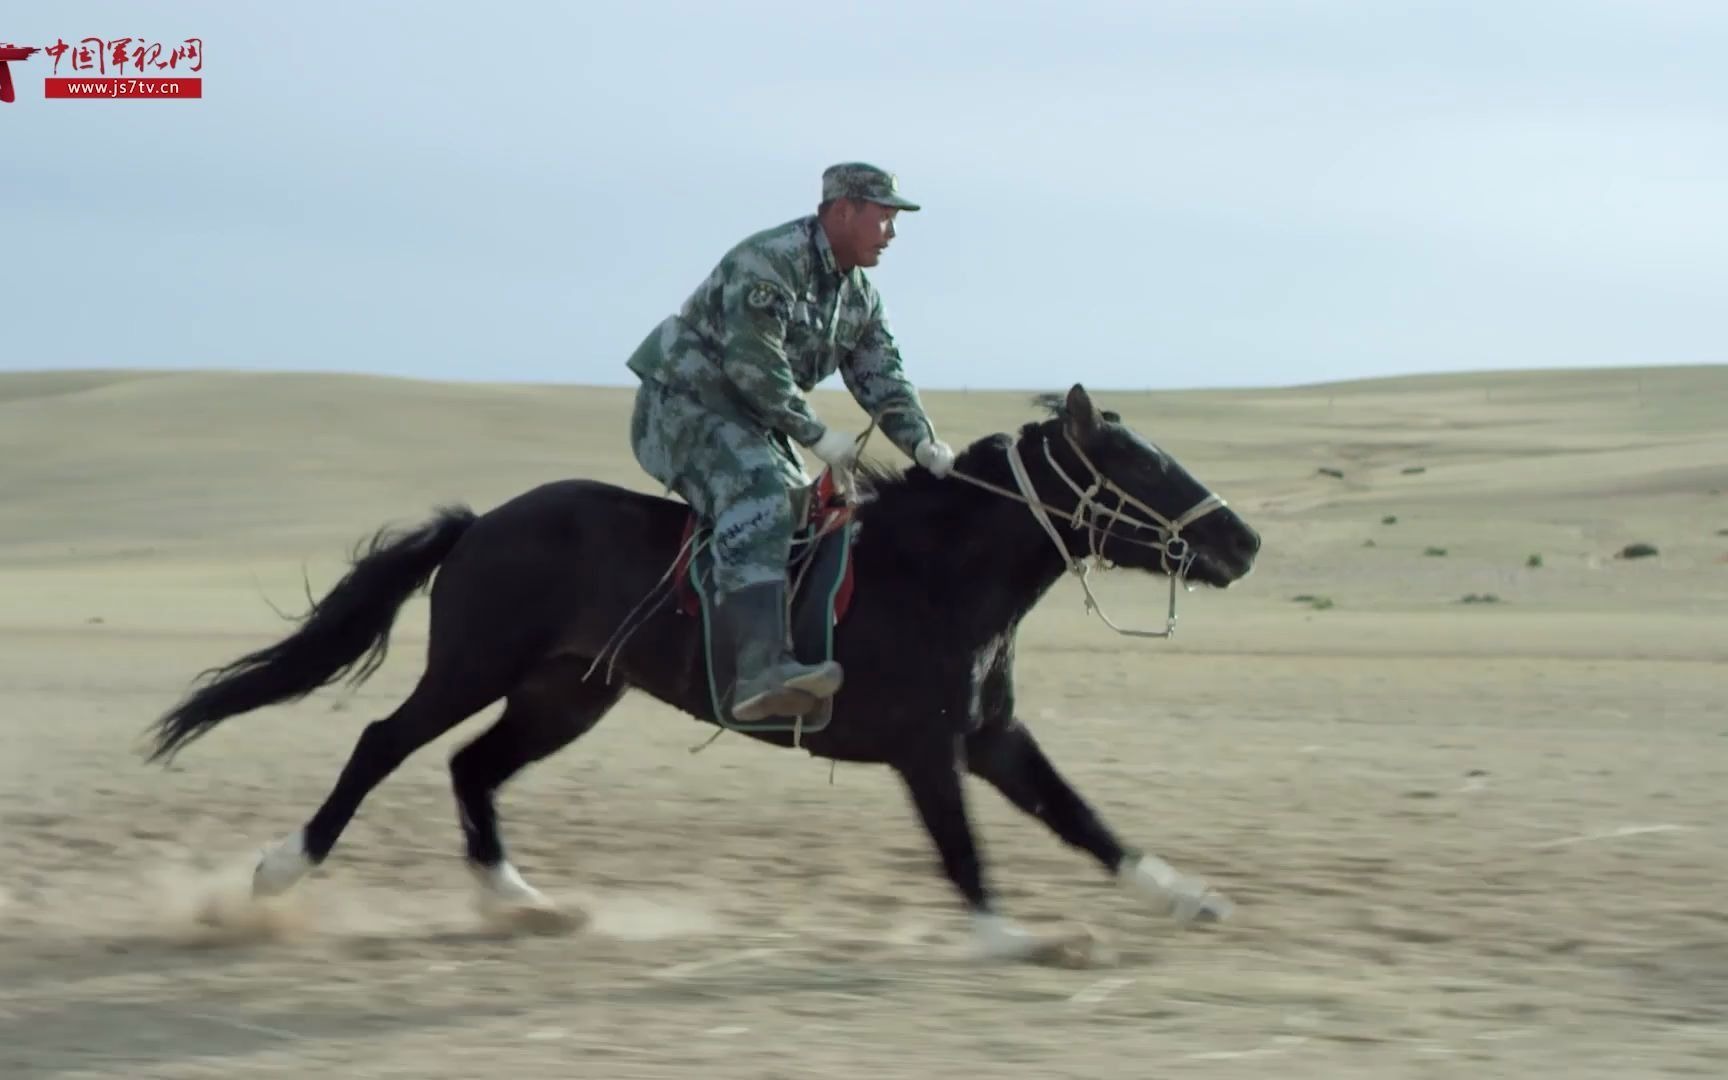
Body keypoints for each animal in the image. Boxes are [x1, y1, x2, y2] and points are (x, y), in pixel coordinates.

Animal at [145, 383, 1257, 953]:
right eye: (1145, 465)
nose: (1243, 543)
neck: (937, 572)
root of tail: (482, 522)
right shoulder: (929, 749)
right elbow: (965, 852)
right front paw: (1012, 939)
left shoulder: (990, 738)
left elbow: (1083, 819)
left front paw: (1189, 898)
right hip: (473, 667)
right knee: (385, 745)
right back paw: (279, 871)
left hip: (568, 694)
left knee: (472, 770)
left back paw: (526, 903)